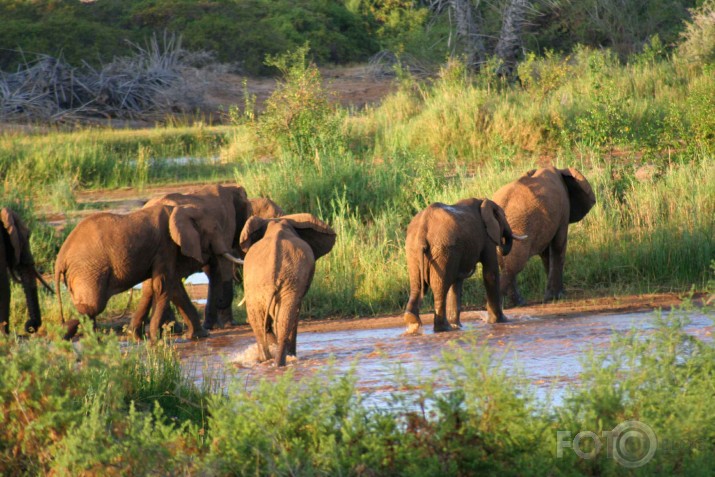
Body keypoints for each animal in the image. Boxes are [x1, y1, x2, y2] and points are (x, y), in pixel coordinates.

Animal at [53, 200, 246, 338]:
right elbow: (163, 285)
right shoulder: (166, 244)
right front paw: (156, 340)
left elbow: (171, 287)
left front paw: (199, 336)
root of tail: (61, 258)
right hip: (88, 271)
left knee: (87, 308)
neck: (180, 209)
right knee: (92, 307)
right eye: (214, 229)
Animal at [239, 214, 338, 366]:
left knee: (262, 320)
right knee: (286, 316)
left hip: (264, 286)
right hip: (285, 284)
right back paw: (280, 360)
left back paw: (271, 361)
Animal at [402, 196, 524, 330]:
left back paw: (413, 320)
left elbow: (456, 282)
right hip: (443, 248)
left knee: (417, 285)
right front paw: (501, 321)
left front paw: (457, 326)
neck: (483, 201)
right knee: (440, 287)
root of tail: (423, 230)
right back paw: (444, 328)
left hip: (415, 250)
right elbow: (490, 273)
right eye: (504, 216)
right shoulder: (486, 236)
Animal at [492, 166, 600, 304]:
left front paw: (554, 296)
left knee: (506, 264)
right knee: (515, 264)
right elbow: (558, 246)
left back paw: (517, 303)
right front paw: (556, 296)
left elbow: (546, 254)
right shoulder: (563, 209)